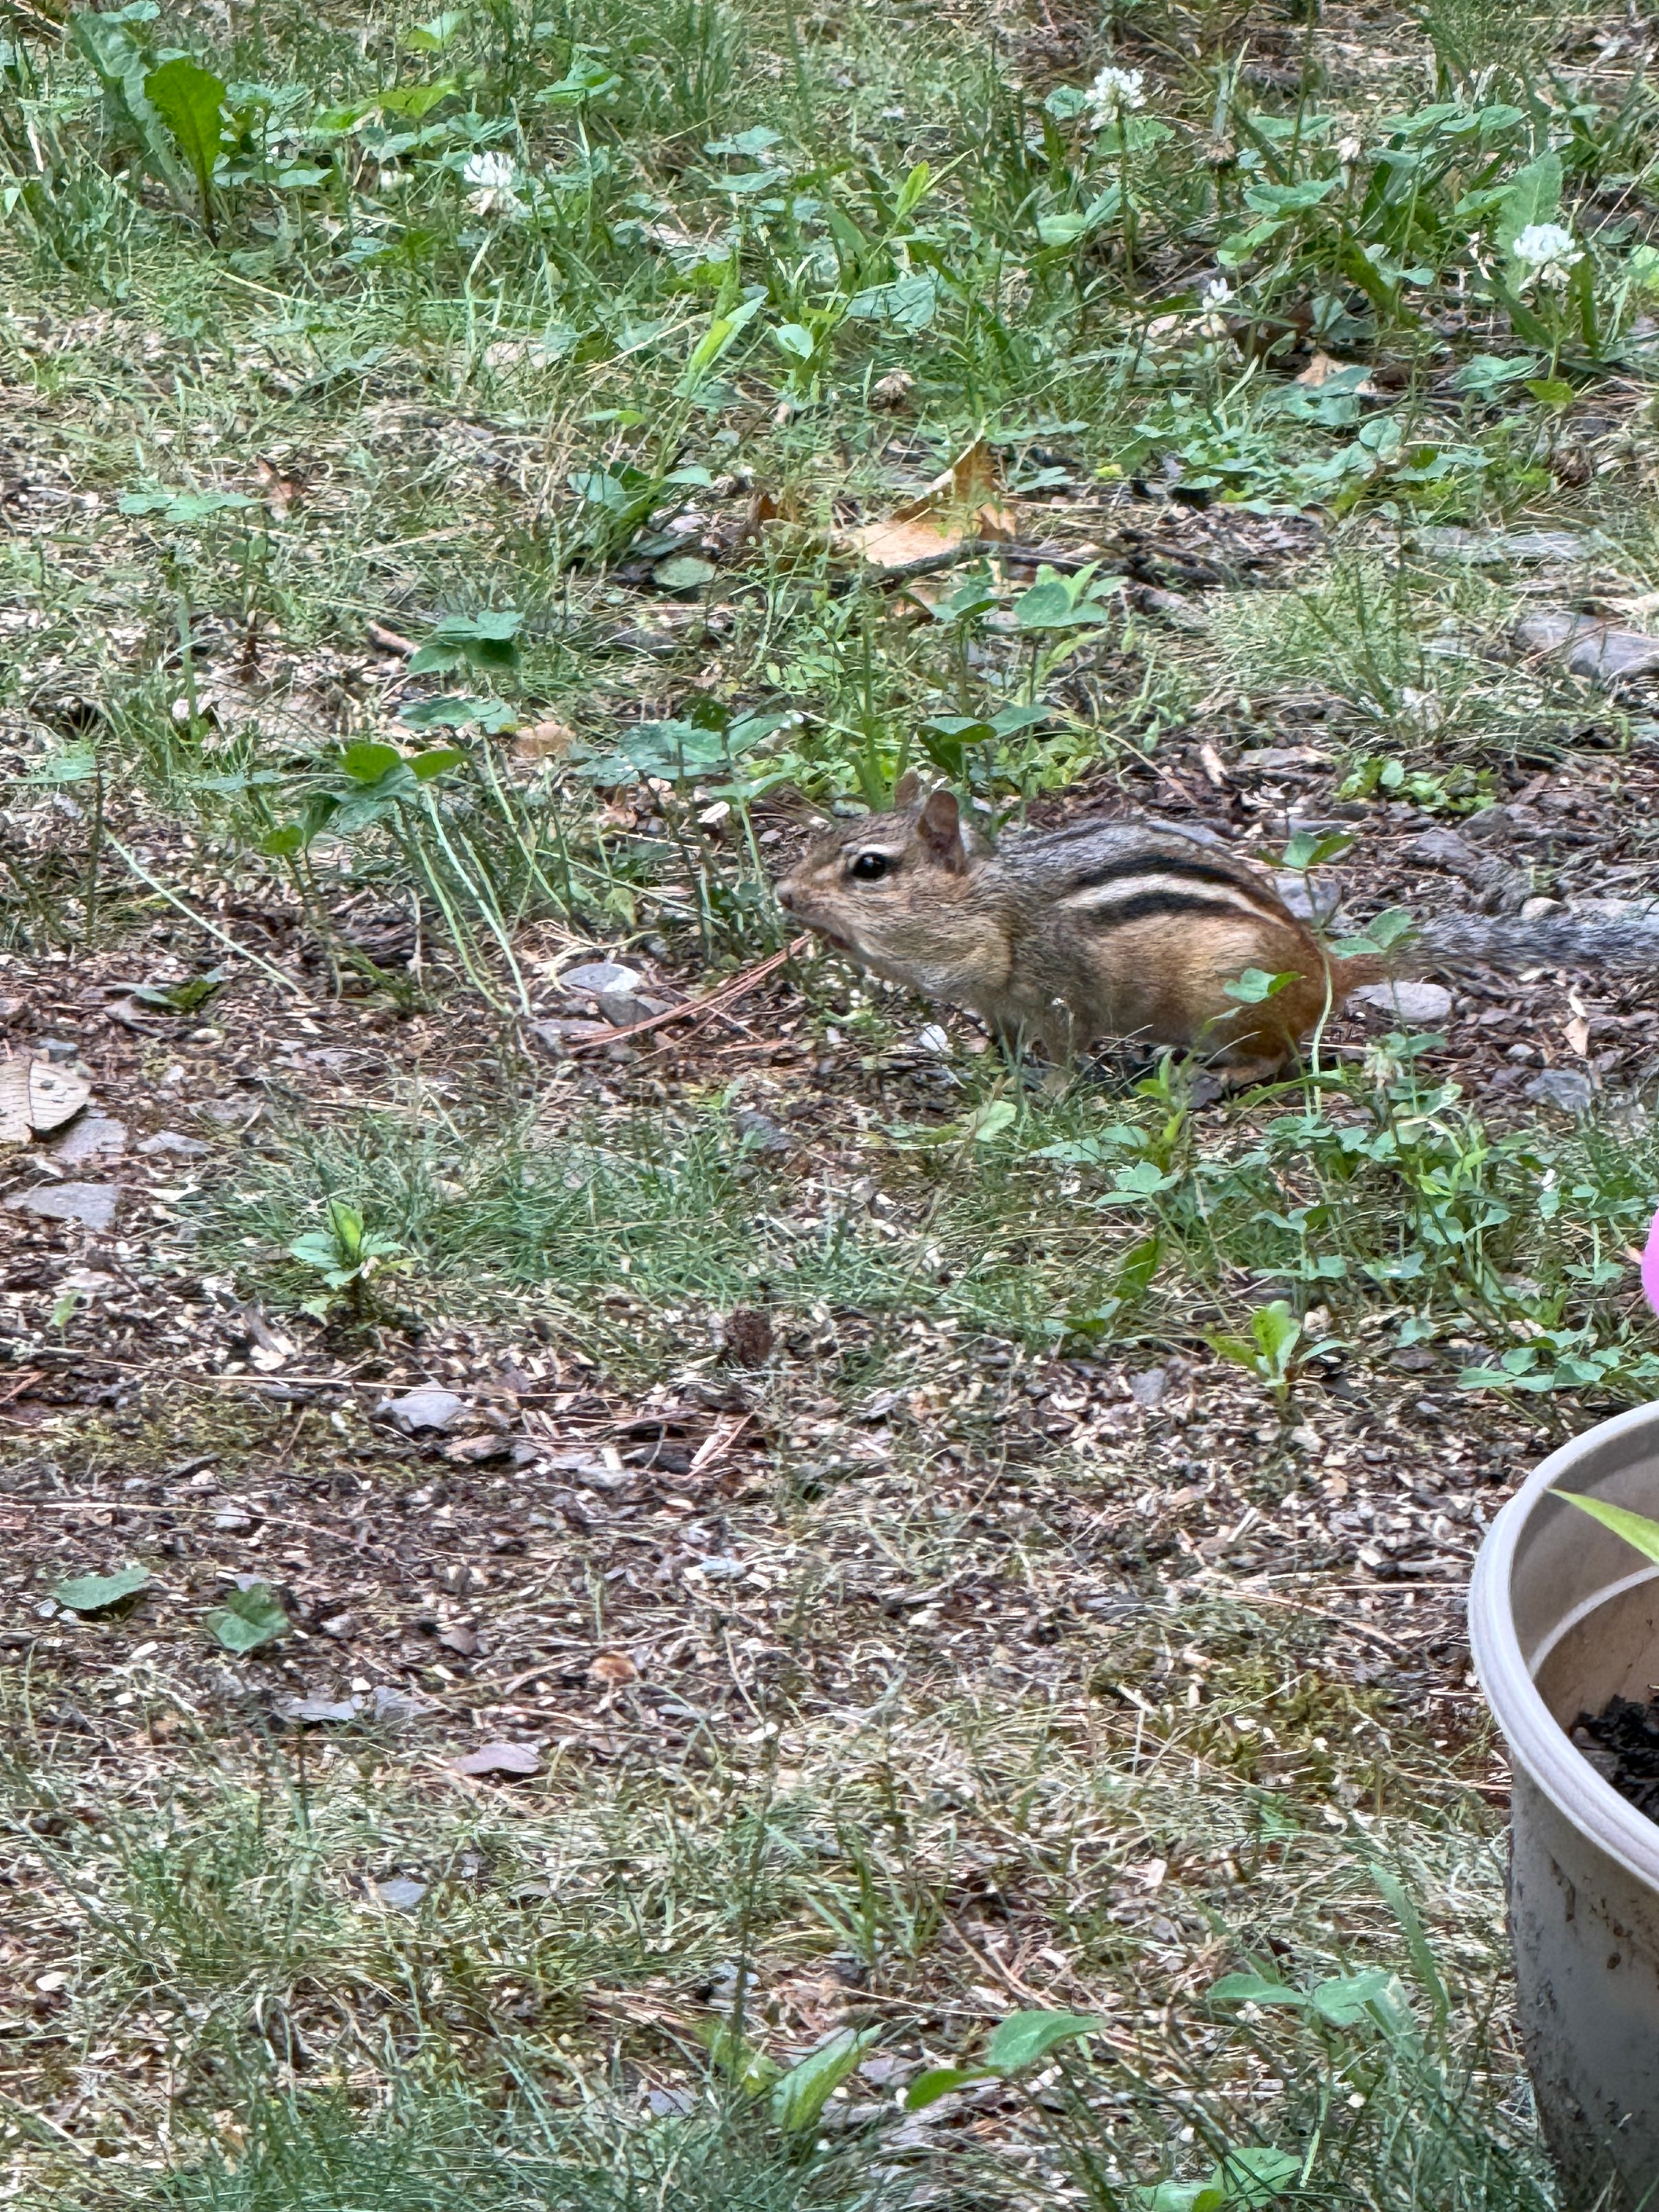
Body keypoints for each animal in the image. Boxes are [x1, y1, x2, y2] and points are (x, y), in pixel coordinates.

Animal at [775, 773, 1659, 1080]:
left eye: (869, 868)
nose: (783, 895)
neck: (996, 912)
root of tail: (1326, 969)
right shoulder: (1002, 1010)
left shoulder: (1058, 999)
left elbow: (1062, 1057)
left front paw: (1043, 1093)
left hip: (1225, 1001)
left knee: (1277, 1059)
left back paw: (1210, 1078)